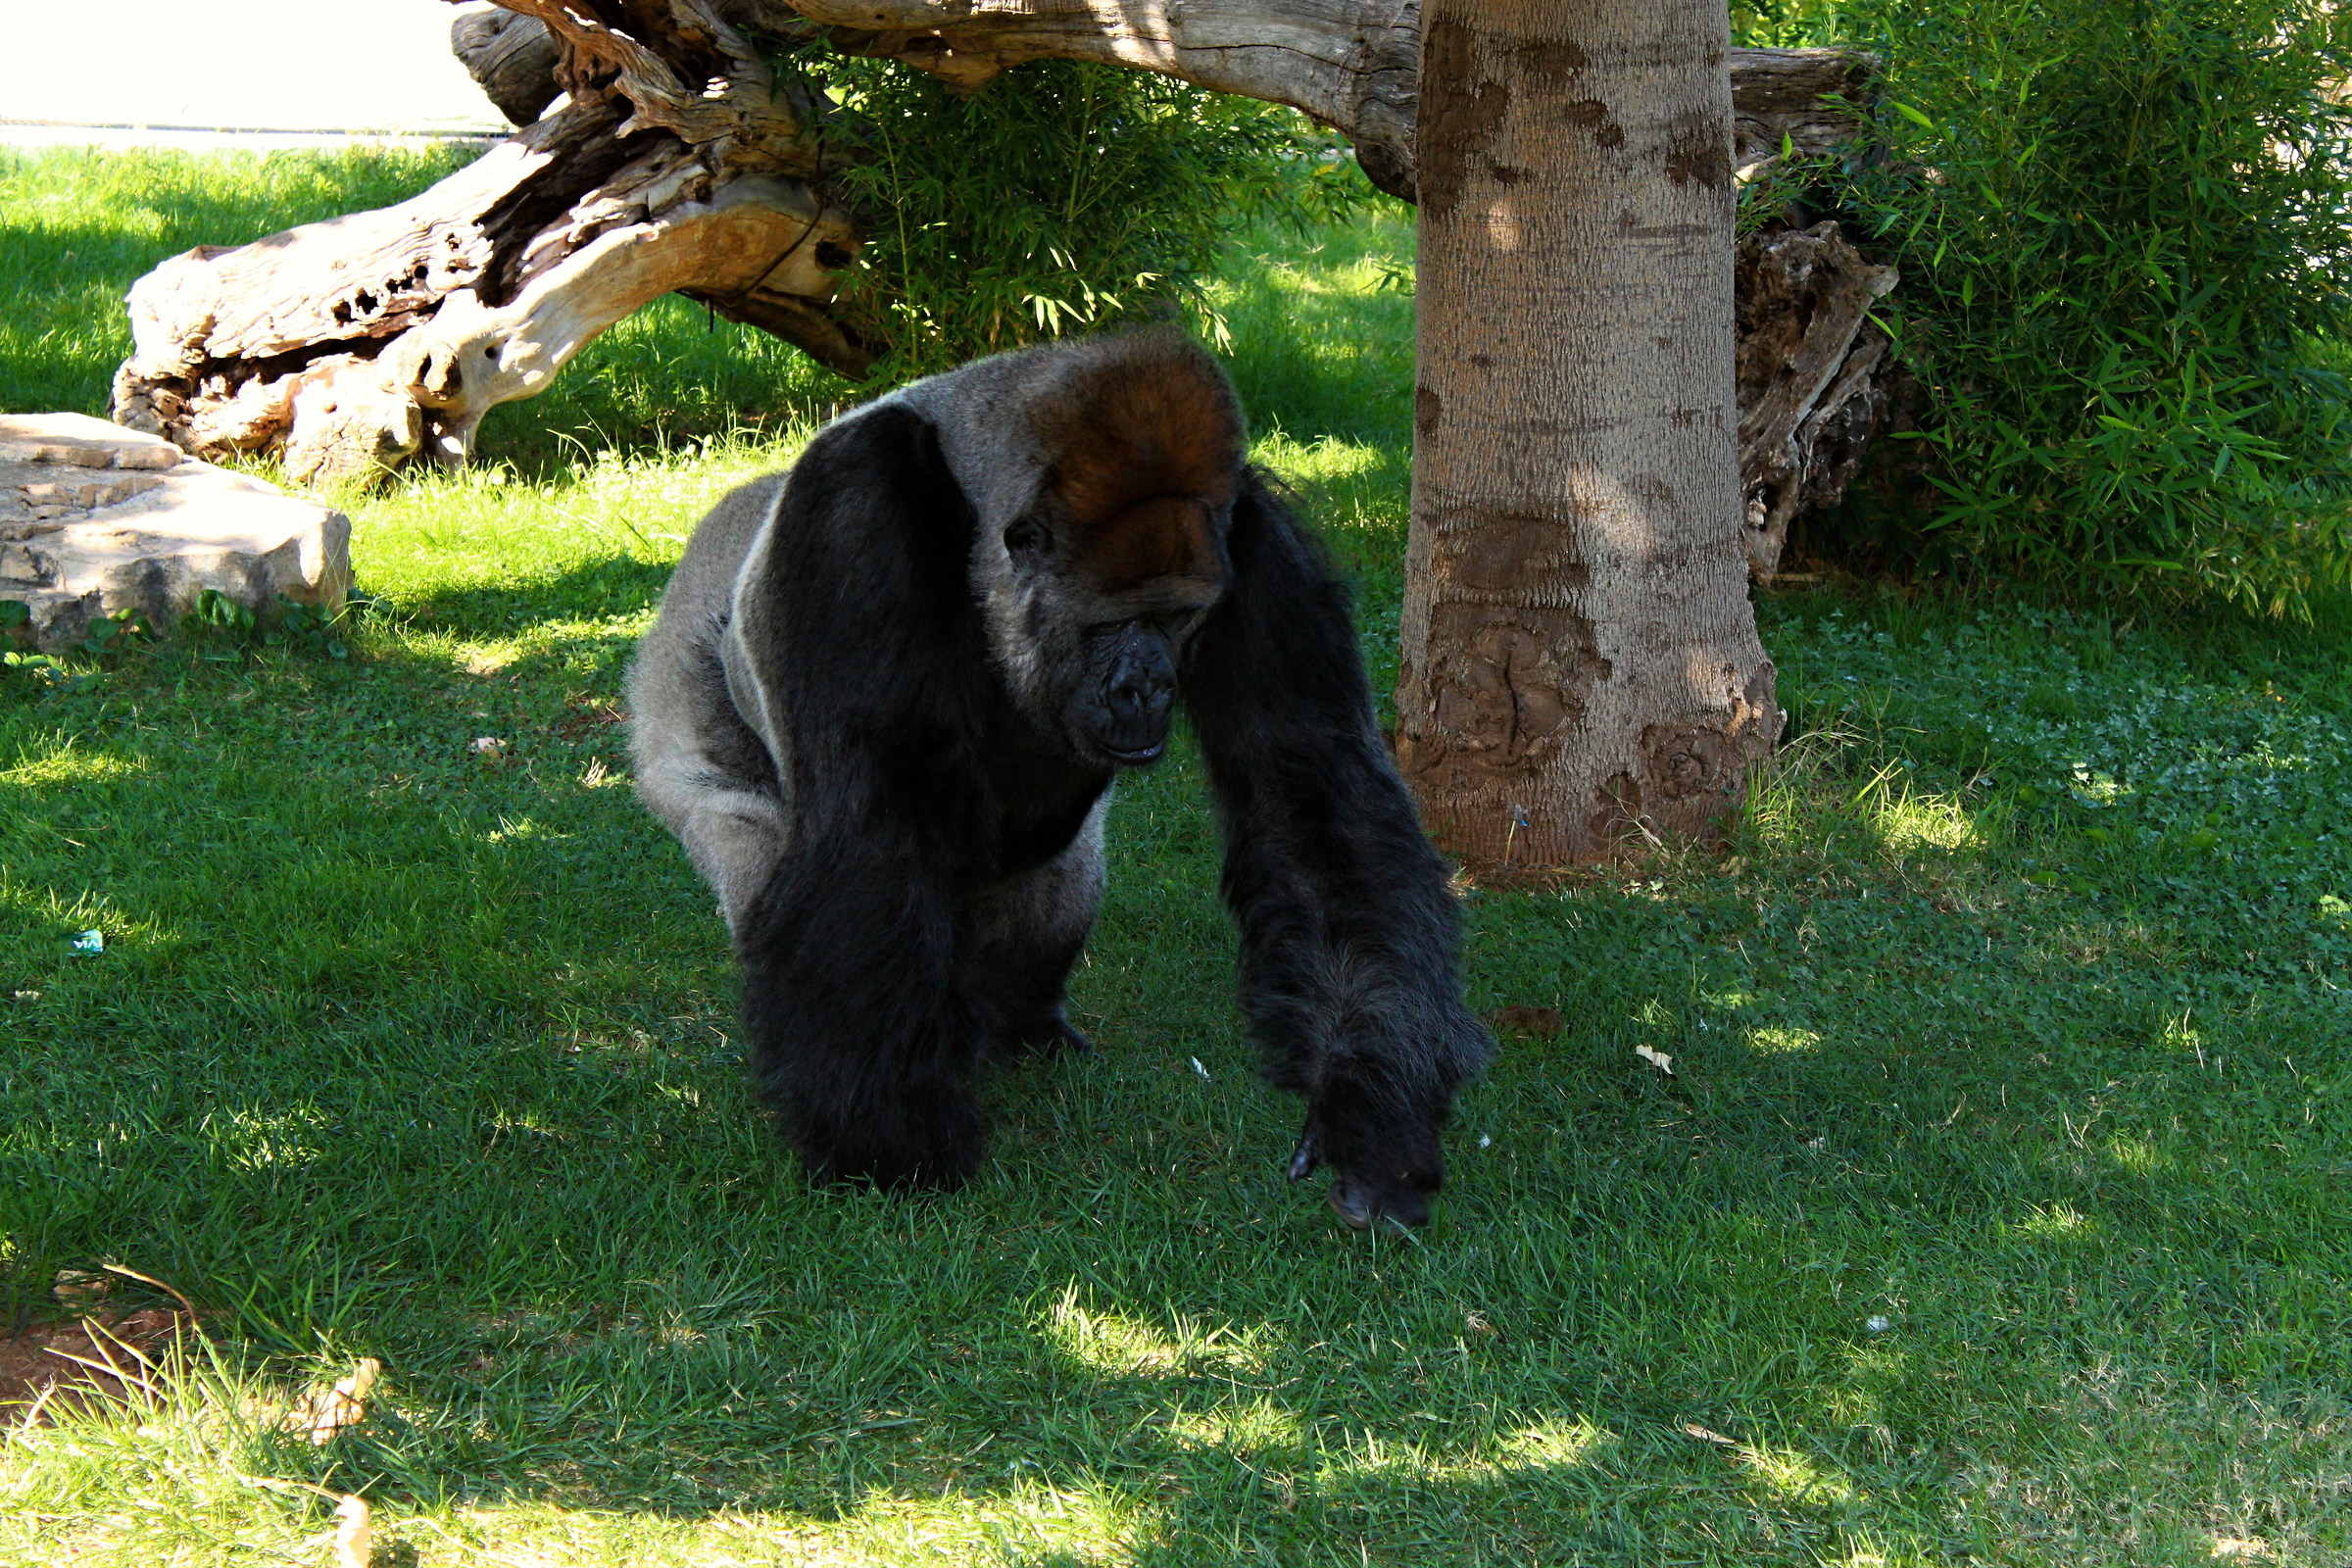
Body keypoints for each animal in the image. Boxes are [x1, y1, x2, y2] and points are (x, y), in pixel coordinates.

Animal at [626, 330, 1491, 1228]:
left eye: (1177, 619)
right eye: (1109, 624)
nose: (1146, 688)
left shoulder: (1252, 533)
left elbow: (1313, 800)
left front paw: (1371, 1115)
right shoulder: (851, 505)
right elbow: (874, 818)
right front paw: (885, 1139)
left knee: (1057, 880)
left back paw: (1025, 1024)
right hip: (676, 697)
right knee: (752, 841)